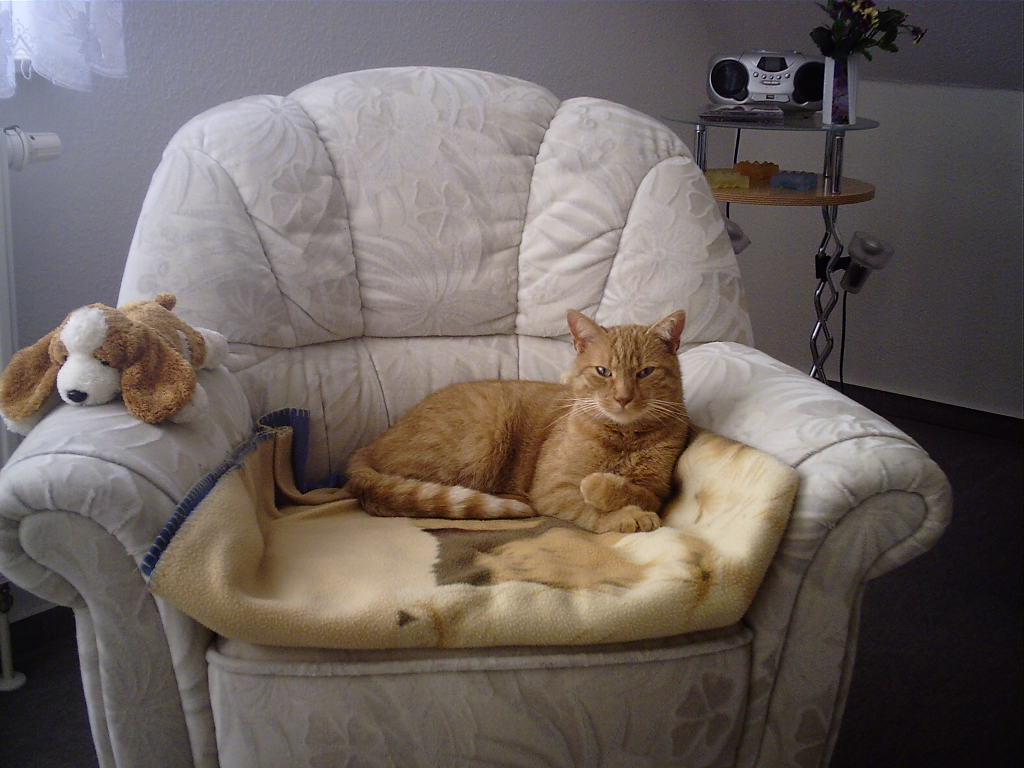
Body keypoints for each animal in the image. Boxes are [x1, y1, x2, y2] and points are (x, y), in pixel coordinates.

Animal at [343, 309, 690, 533]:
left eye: (645, 372)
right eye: (603, 372)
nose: (623, 398)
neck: (624, 436)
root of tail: (371, 445)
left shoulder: (657, 490)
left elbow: (634, 492)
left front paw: (613, 492)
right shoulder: (552, 488)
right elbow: (587, 506)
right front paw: (622, 516)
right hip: (481, 438)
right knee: (396, 497)